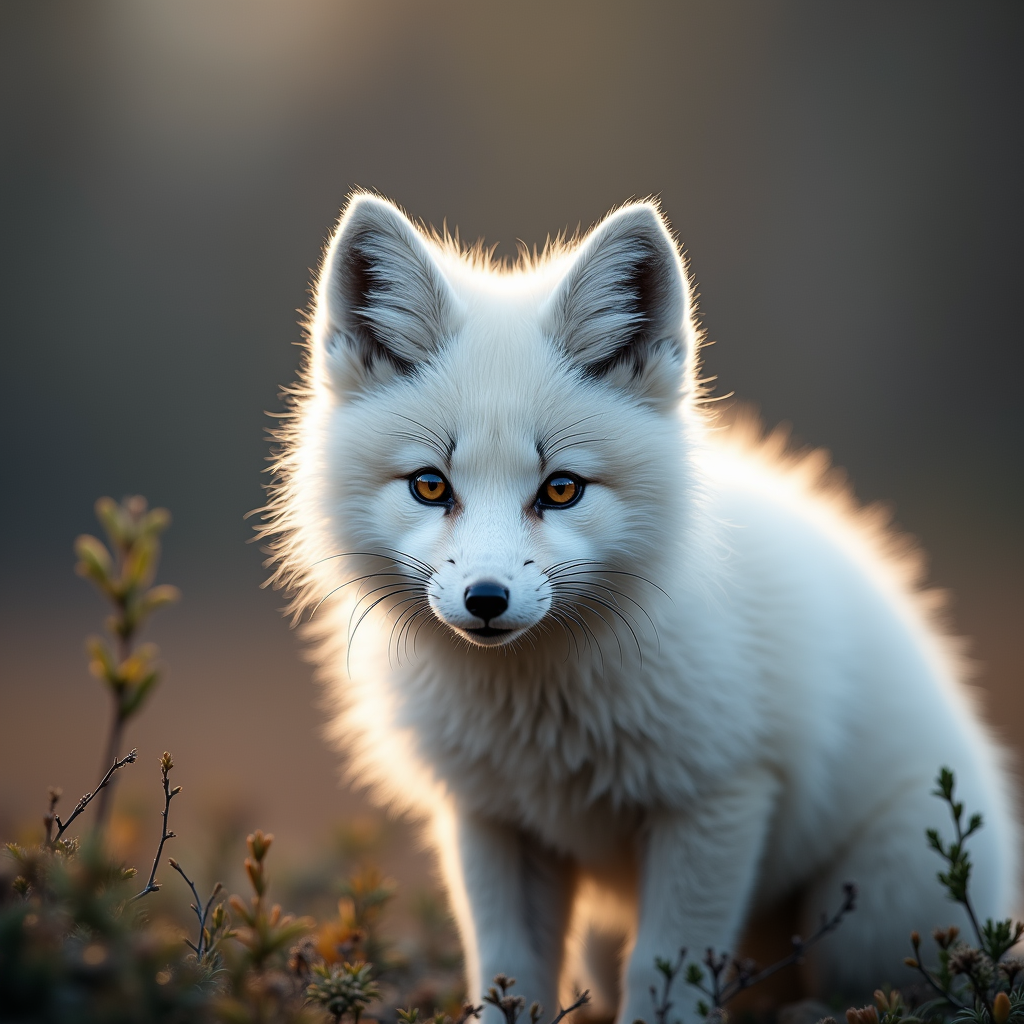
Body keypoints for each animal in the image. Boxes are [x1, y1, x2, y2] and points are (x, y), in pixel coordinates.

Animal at [261, 193, 1019, 1021]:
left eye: (561, 489)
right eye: (430, 485)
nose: (486, 599)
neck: (538, 717)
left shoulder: (717, 800)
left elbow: (667, 976)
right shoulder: (491, 821)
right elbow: (508, 974)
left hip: (869, 919)